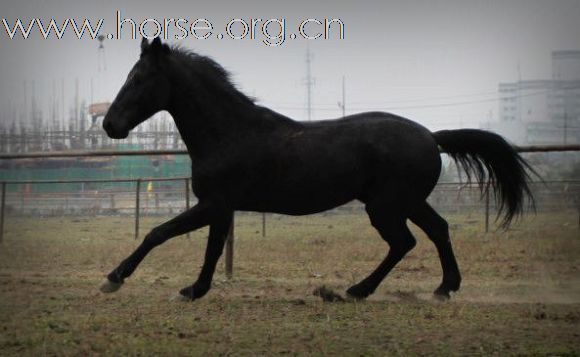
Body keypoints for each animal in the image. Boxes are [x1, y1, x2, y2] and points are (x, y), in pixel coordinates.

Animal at [99, 38, 536, 300]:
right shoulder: (221, 208)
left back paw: (357, 290)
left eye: (139, 78)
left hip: (387, 206)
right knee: (437, 231)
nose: (109, 125)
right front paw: (195, 288)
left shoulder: (214, 204)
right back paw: (444, 287)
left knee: (405, 242)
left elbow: (160, 233)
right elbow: (208, 247)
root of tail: (432, 135)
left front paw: (116, 279)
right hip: (406, 202)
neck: (230, 133)